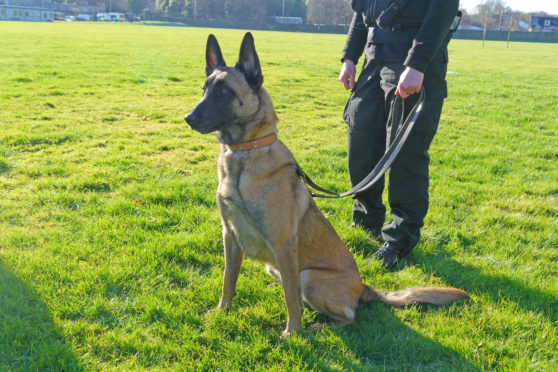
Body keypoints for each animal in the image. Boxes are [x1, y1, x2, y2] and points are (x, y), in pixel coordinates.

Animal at [186, 33, 470, 338]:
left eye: (224, 92)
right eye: (204, 89)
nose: (188, 118)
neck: (244, 153)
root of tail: (363, 286)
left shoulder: (283, 244)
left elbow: (290, 297)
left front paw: (293, 333)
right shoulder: (229, 236)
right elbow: (228, 280)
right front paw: (222, 310)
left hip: (309, 275)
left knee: (343, 314)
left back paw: (316, 328)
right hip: (279, 267)